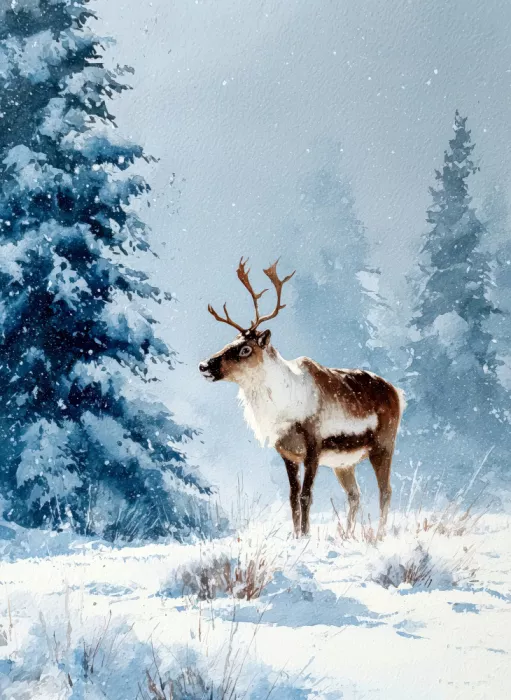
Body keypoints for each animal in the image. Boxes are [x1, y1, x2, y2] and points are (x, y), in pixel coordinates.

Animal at [199, 258, 405, 538]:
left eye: (245, 349)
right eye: (230, 341)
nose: (203, 365)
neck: (283, 408)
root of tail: (398, 393)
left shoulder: (313, 447)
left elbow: (306, 496)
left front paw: (305, 536)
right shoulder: (287, 453)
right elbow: (292, 497)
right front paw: (296, 535)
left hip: (384, 445)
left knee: (386, 491)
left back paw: (379, 534)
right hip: (344, 463)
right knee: (355, 495)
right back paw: (347, 534)